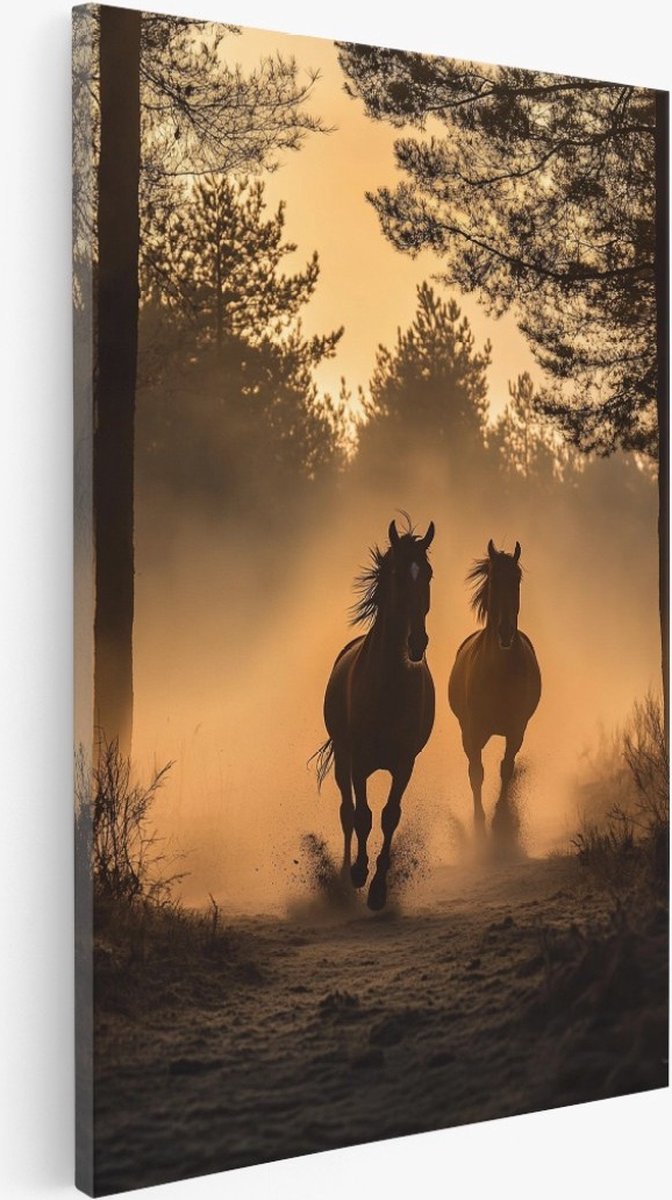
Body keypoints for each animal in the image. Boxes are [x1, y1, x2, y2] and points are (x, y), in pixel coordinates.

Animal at [313, 517, 436, 910]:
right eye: (396, 573)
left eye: (427, 573)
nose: (417, 642)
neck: (388, 689)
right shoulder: (358, 761)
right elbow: (362, 816)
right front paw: (358, 873)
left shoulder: (404, 763)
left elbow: (389, 817)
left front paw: (379, 889)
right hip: (342, 759)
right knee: (346, 813)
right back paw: (344, 876)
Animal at [448, 540, 541, 839]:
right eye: (493, 580)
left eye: (517, 579)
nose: (505, 632)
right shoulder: (472, 731)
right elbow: (476, 773)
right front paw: (479, 821)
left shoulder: (516, 730)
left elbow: (506, 769)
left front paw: (500, 819)